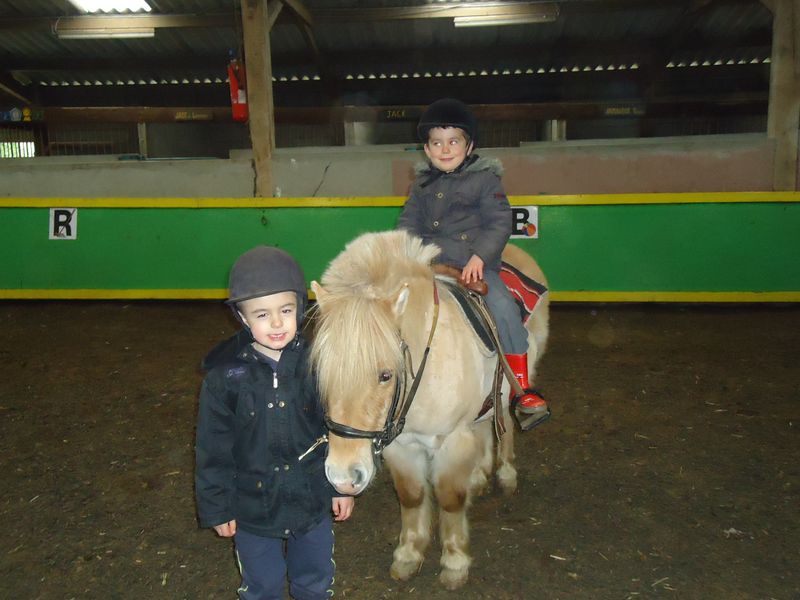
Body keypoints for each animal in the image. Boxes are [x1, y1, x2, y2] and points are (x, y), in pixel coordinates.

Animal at [309, 229, 549, 590]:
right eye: (323, 374)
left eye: (386, 374)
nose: (343, 476)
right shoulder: (402, 446)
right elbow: (411, 497)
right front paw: (408, 555)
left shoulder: (452, 441)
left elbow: (449, 499)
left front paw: (454, 562)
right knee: (484, 424)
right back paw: (478, 475)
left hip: (513, 385)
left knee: (505, 420)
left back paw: (506, 473)